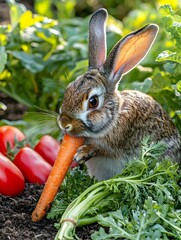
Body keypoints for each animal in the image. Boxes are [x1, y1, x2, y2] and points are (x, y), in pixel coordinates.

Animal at [58, 7, 181, 180]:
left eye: (93, 102)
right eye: (68, 89)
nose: (64, 123)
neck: (114, 117)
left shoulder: (115, 142)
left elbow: (101, 149)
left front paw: (82, 153)